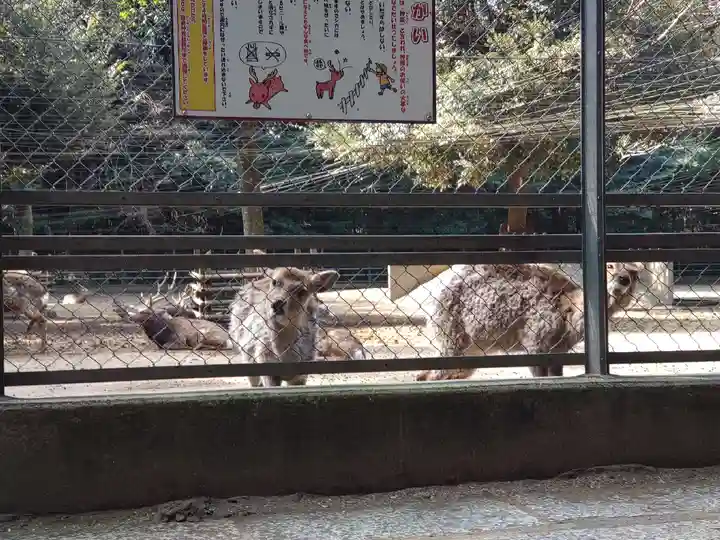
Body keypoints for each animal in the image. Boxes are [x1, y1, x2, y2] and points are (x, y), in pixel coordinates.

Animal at [416, 262, 644, 382]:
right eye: (610, 266)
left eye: (635, 275)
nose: (623, 279)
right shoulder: (535, 341)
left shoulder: (557, 350)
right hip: (453, 333)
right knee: (435, 372)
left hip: (472, 348)